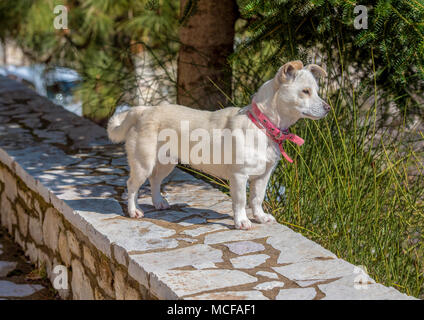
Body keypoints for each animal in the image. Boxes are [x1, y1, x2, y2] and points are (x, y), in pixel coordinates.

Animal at [107, 60, 330, 230]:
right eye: (305, 91)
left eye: (316, 92)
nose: (328, 108)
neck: (262, 125)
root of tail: (144, 110)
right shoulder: (239, 176)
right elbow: (240, 201)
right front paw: (242, 221)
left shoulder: (263, 175)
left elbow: (257, 198)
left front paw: (260, 216)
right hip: (143, 163)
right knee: (132, 186)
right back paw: (133, 211)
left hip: (166, 163)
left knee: (154, 181)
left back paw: (159, 202)